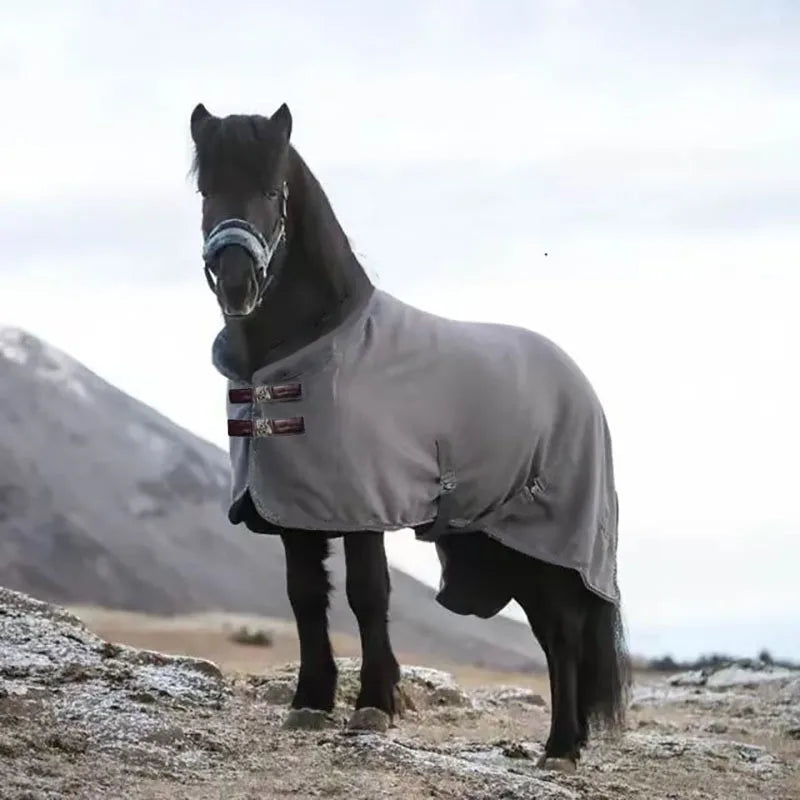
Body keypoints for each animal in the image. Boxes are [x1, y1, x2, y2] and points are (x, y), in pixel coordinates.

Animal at [188, 101, 630, 770]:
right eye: (206, 190)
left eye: (271, 191)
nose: (236, 281)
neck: (308, 349)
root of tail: (580, 384)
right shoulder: (294, 509)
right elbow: (304, 596)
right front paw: (311, 701)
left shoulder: (363, 504)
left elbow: (367, 594)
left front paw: (373, 704)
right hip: (511, 545)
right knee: (558, 635)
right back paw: (570, 740)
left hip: (550, 540)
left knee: (562, 632)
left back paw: (559, 747)